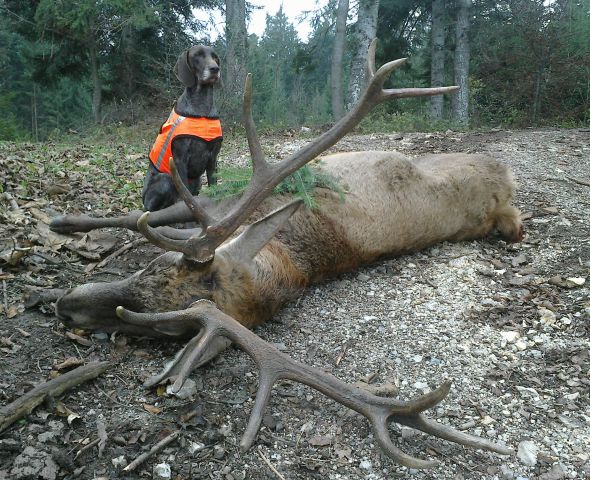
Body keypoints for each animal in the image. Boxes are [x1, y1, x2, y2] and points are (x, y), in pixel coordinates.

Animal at [143, 44, 224, 210]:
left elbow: (213, 184)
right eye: (197, 55)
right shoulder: (180, 159)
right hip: (166, 178)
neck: (202, 109)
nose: (215, 69)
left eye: (215, 57)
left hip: (197, 181)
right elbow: (185, 192)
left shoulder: (213, 157)